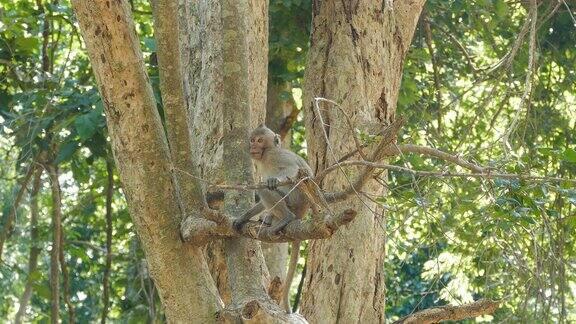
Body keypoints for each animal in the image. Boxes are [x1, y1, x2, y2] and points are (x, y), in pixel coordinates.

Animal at [233, 124, 316, 314]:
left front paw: (273, 179)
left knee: (265, 187)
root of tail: (302, 213)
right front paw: (243, 217)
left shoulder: (275, 156)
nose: (253, 146)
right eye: (252, 140)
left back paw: (286, 218)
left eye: (260, 140)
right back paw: (269, 219)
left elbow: (291, 170)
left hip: (294, 200)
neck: (265, 155)